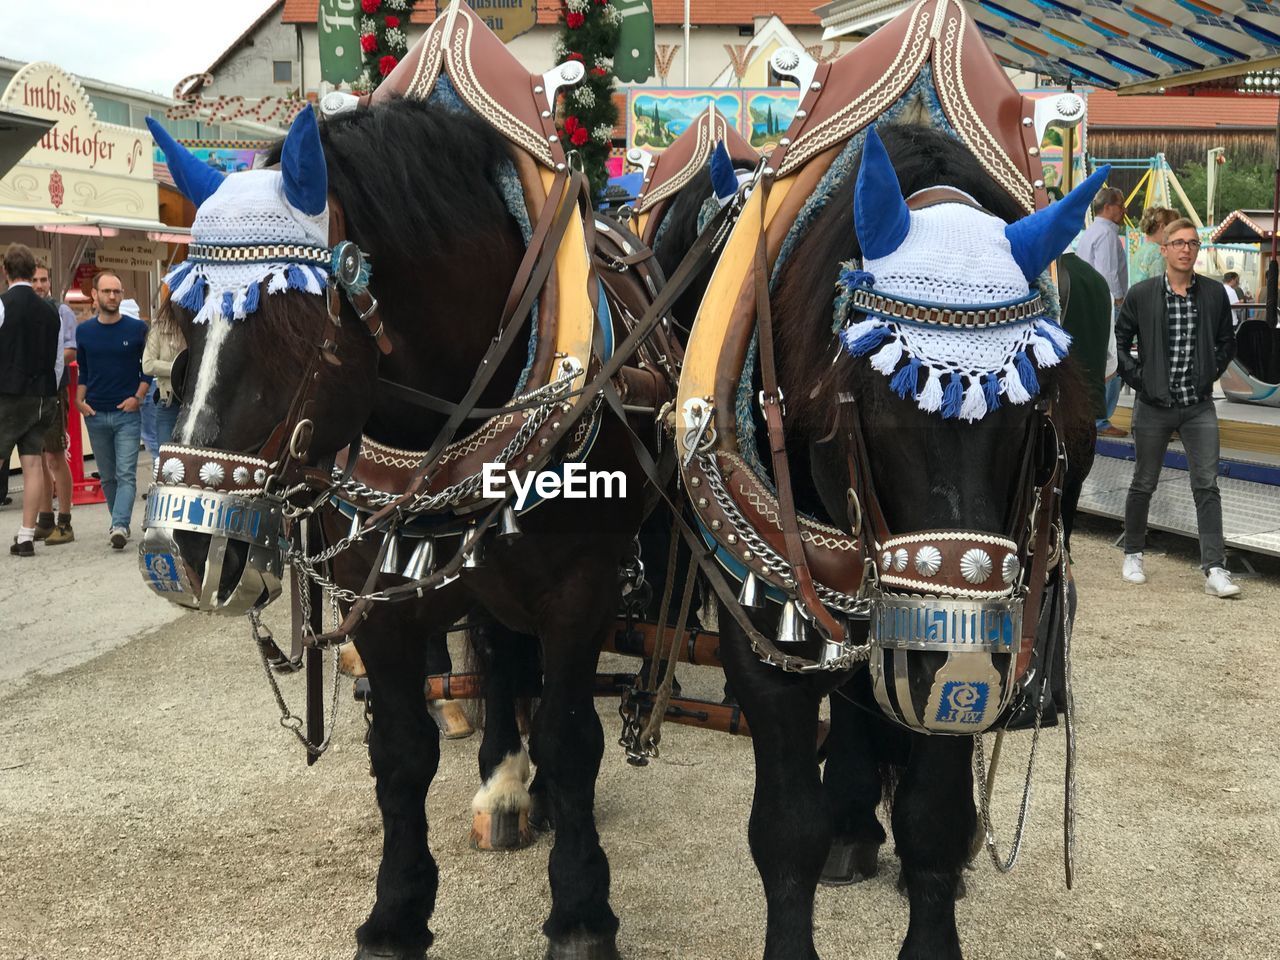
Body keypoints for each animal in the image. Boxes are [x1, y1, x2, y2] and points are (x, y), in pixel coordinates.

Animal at [711, 126, 1090, 960]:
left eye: (1031, 409)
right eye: (869, 400)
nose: (948, 664)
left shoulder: (972, 645)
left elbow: (933, 817)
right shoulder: (765, 619)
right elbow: (786, 828)